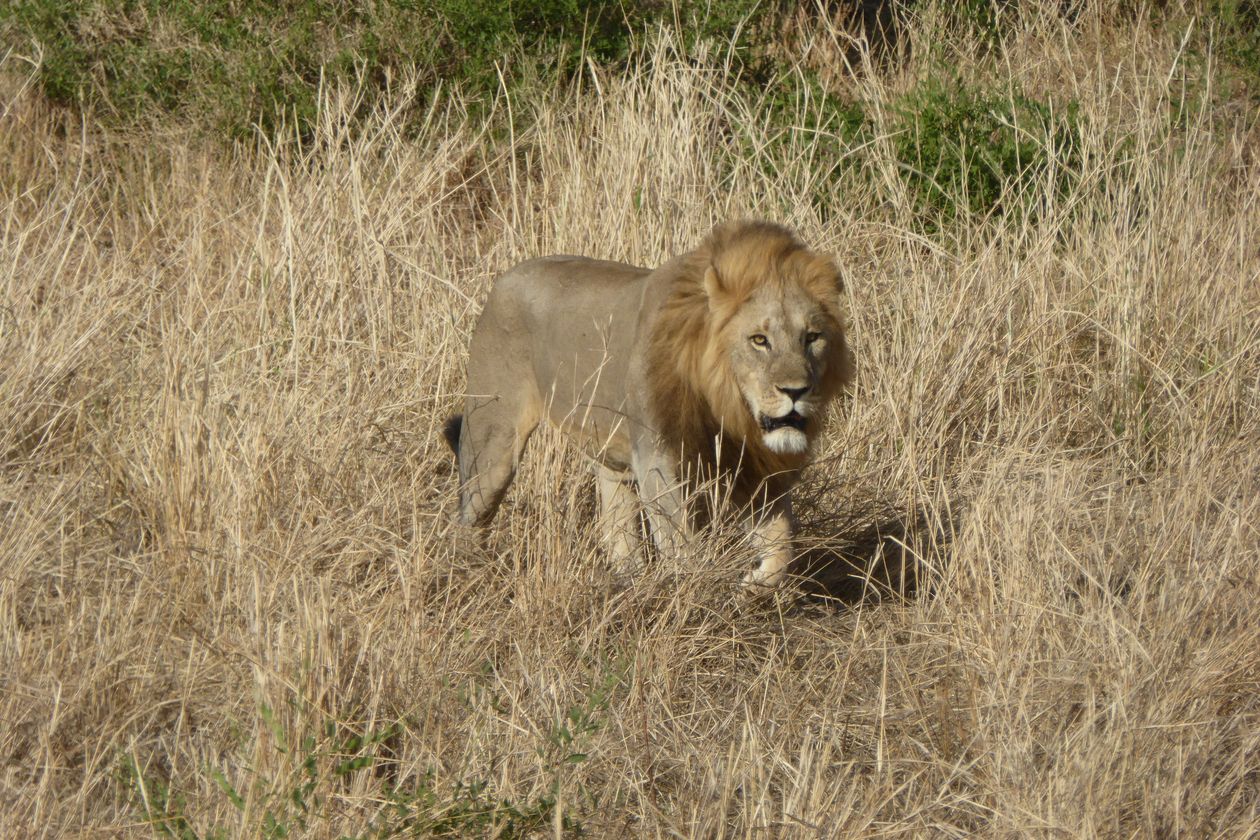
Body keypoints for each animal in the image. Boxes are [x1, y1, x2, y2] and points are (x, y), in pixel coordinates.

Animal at [443, 220, 854, 588]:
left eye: (812, 337)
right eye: (759, 340)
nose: (796, 391)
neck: (726, 405)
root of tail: (506, 276)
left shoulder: (756, 466)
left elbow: (782, 544)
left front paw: (753, 584)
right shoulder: (659, 459)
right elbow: (683, 545)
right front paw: (697, 595)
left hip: (610, 455)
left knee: (616, 527)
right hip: (492, 440)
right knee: (470, 517)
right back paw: (469, 576)